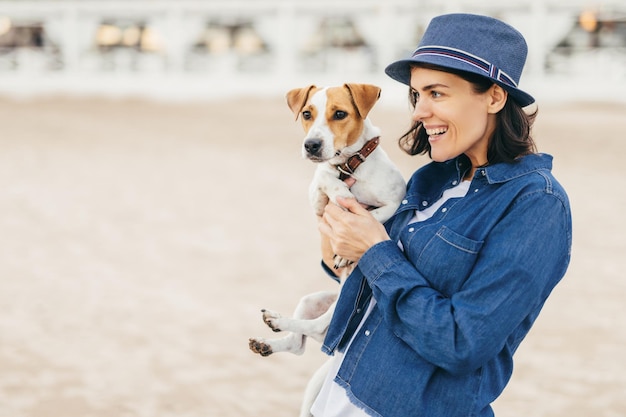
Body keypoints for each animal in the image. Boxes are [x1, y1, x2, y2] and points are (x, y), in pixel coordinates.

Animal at [249, 83, 404, 414]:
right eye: (307, 114)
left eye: (340, 114)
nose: (311, 145)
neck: (349, 165)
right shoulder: (317, 199)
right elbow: (326, 181)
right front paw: (339, 190)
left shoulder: (396, 199)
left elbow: (375, 218)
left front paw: (346, 248)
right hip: (312, 300)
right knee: (300, 341)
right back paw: (269, 339)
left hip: (338, 305)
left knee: (317, 327)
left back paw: (277, 320)